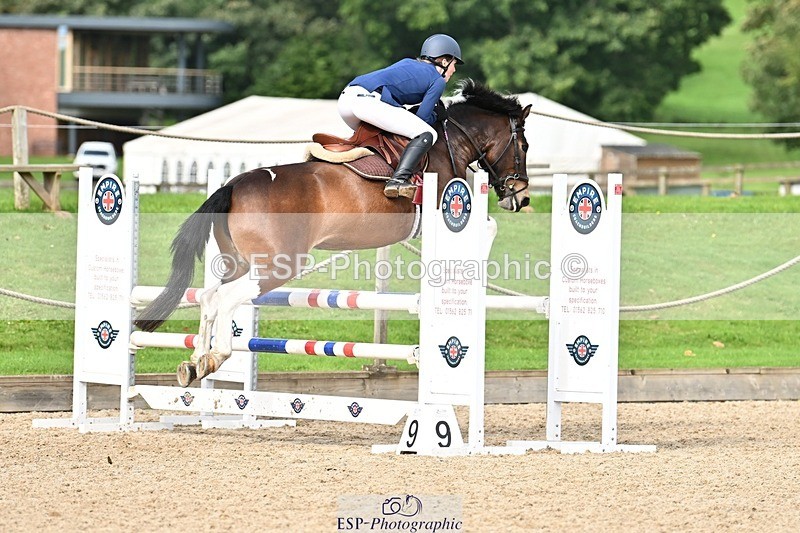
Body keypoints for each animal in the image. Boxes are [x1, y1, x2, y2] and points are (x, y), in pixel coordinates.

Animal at [134, 79, 532, 386]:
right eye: (524, 146)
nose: (522, 196)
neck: (451, 143)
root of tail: (233, 185)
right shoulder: (441, 210)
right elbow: (489, 225)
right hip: (278, 265)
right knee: (227, 297)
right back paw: (217, 355)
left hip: (239, 262)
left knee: (207, 296)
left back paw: (196, 362)